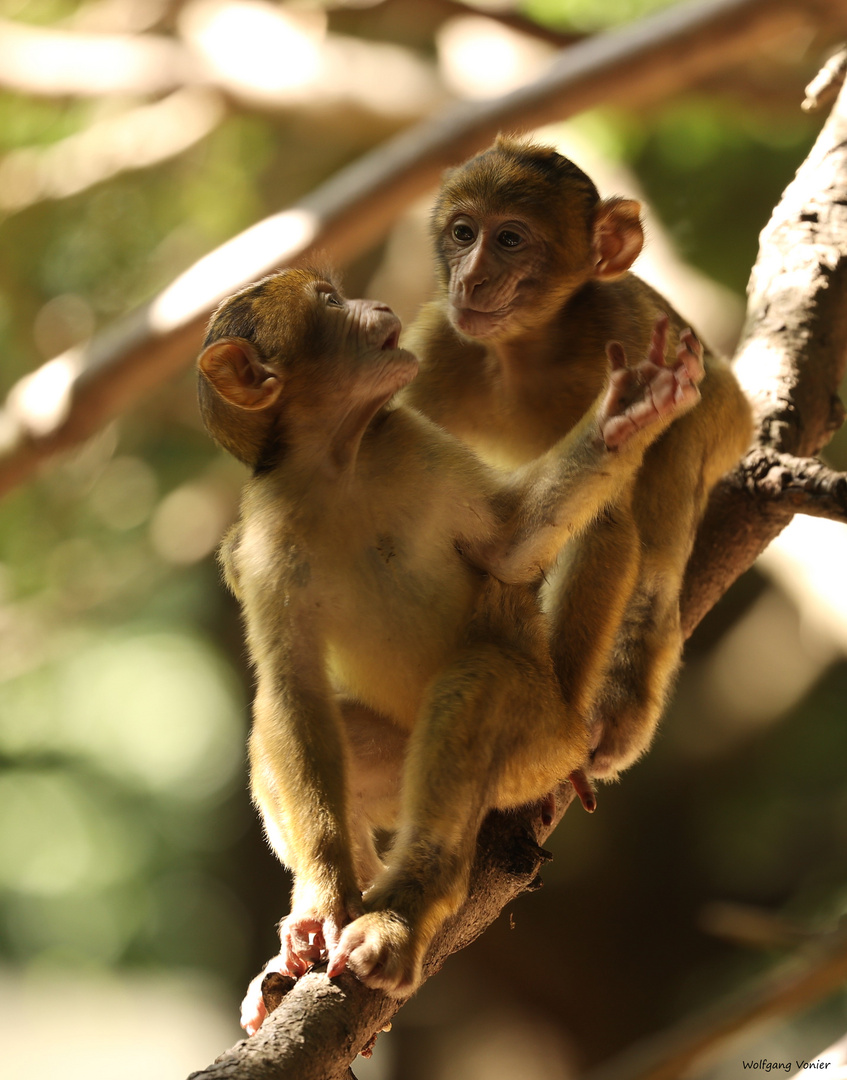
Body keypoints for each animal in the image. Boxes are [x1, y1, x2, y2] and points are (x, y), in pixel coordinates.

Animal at [196, 265, 700, 1023]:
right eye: (328, 302)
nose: (374, 303)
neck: (338, 466)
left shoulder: (414, 443)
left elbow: (510, 543)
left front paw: (626, 413)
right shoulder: (264, 541)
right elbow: (293, 692)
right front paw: (324, 897)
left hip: (542, 747)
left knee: (480, 685)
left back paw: (405, 911)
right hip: (397, 761)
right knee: (290, 731)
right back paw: (324, 920)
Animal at [404, 135, 756, 781]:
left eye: (509, 240)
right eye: (463, 233)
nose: (471, 278)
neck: (527, 350)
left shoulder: (623, 334)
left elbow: (607, 526)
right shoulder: (438, 344)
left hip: (725, 413)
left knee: (657, 542)